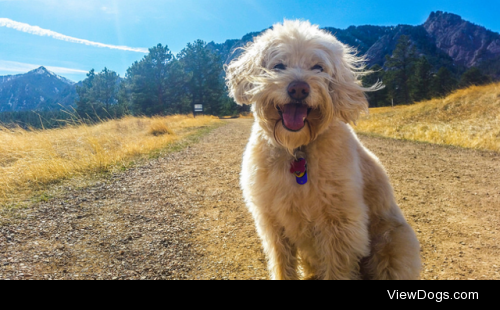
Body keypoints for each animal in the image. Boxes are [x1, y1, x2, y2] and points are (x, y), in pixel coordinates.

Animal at [225, 20, 420, 280]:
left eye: (318, 68)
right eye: (278, 65)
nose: (299, 89)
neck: (297, 150)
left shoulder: (340, 226)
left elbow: (336, 269)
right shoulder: (273, 224)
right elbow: (282, 265)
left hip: (393, 244)